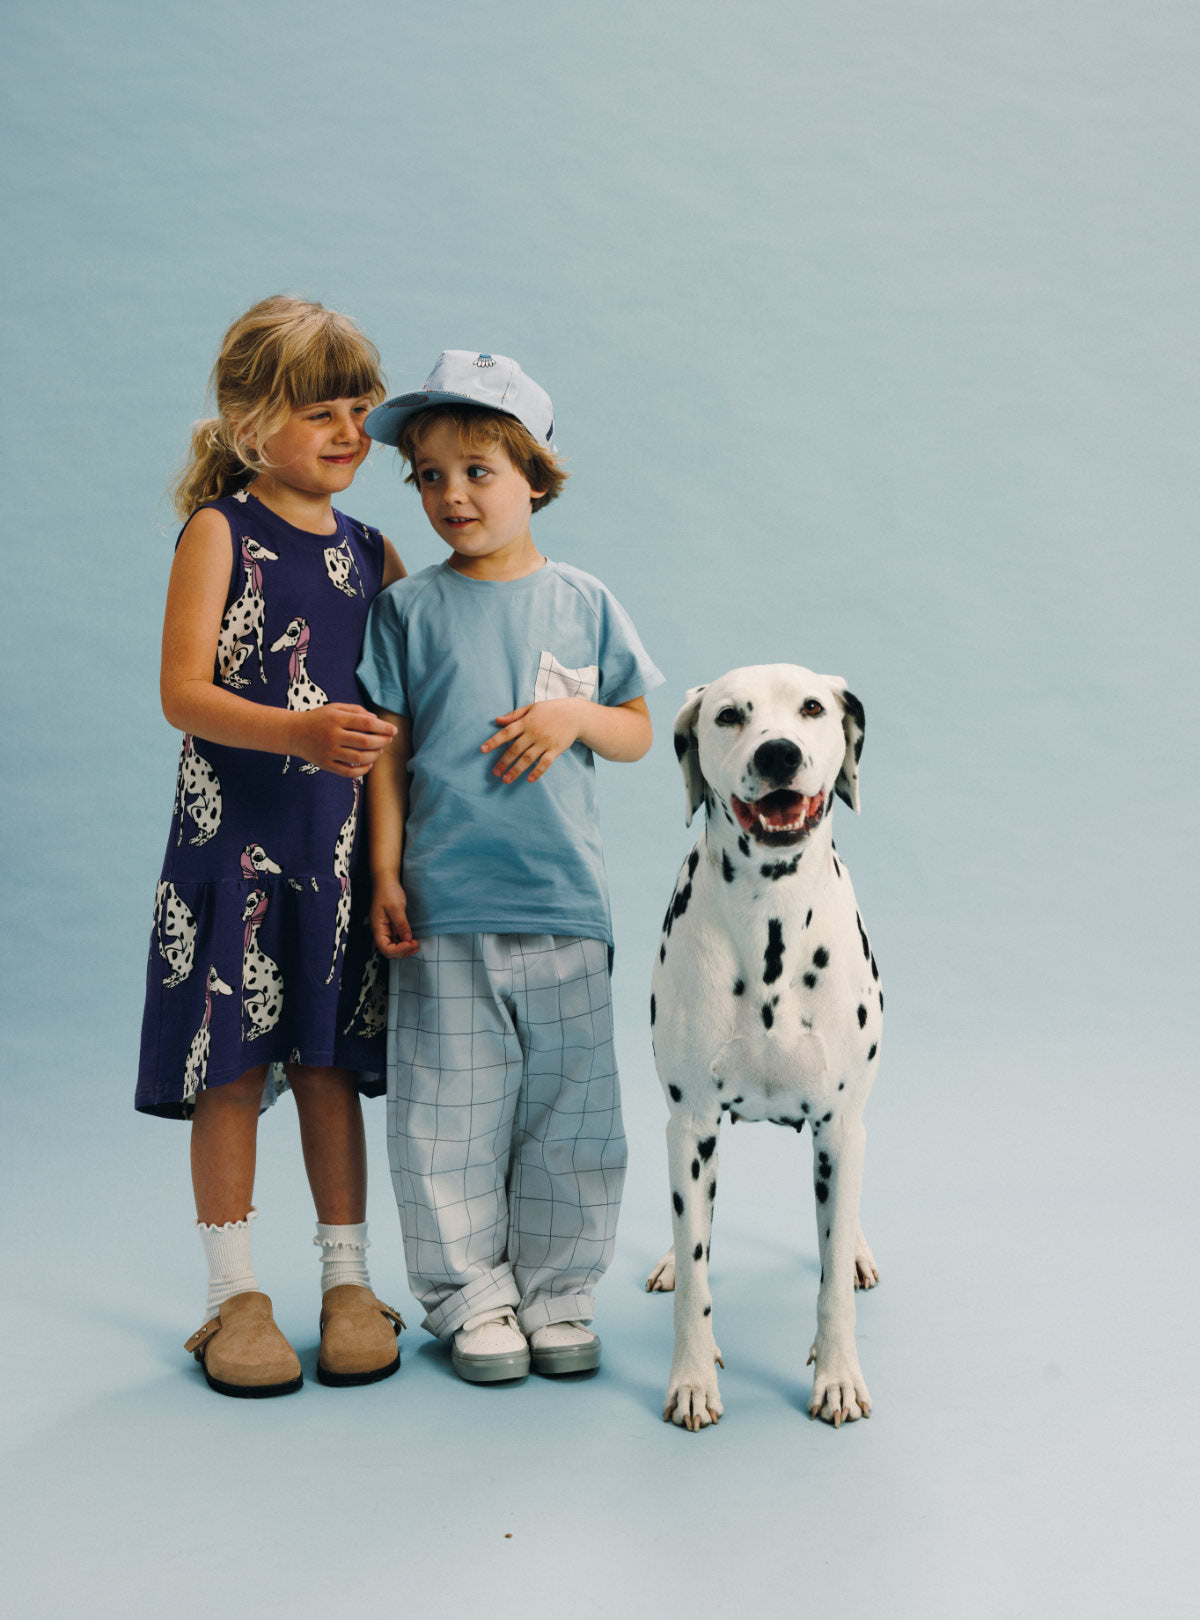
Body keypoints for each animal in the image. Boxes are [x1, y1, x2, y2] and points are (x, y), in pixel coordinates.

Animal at [644, 667, 880, 1432]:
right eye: (728, 716)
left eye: (811, 708)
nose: (778, 752)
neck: (768, 916)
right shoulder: (690, 1126)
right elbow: (698, 1274)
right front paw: (691, 1379)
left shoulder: (837, 1126)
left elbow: (831, 1285)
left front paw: (837, 1376)